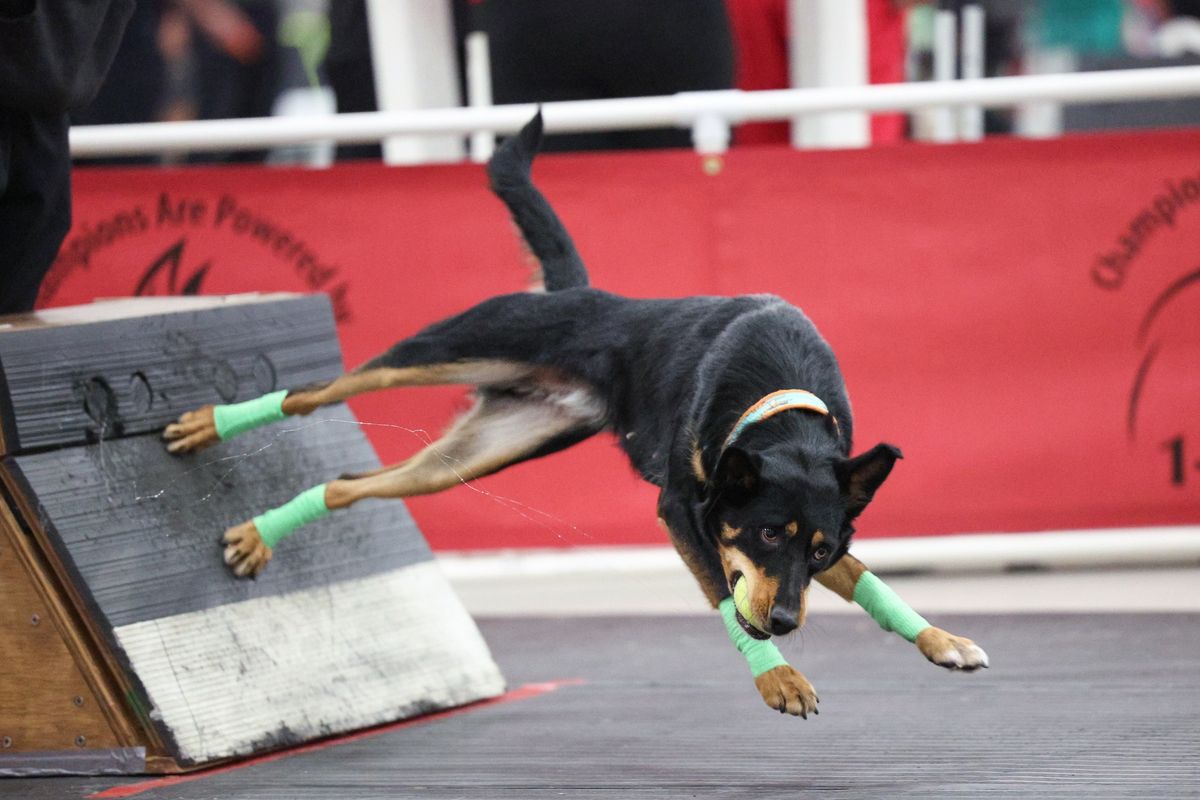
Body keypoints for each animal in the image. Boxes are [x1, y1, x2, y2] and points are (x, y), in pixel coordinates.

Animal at [164, 110, 988, 714]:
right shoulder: (683, 512)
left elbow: (869, 582)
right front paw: (776, 674)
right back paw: (211, 427)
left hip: (476, 454)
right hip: (447, 346)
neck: (778, 399)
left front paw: (940, 639)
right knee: (316, 392)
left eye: (817, 550)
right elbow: (727, 599)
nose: (786, 623)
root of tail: (578, 293)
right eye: (763, 533)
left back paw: (259, 534)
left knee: (346, 483)